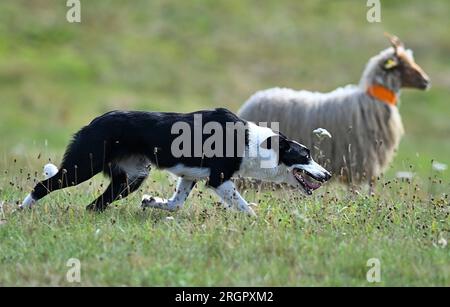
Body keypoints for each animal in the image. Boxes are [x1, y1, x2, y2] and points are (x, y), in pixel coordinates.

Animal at [21, 108, 330, 217]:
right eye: (305, 156)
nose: (327, 175)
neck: (252, 143)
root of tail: (92, 122)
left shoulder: (190, 176)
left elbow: (175, 203)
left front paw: (152, 202)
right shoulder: (219, 180)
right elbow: (244, 207)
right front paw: (256, 221)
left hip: (131, 178)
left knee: (95, 205)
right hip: (82, 167)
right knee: (42, 186)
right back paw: (21, 211)